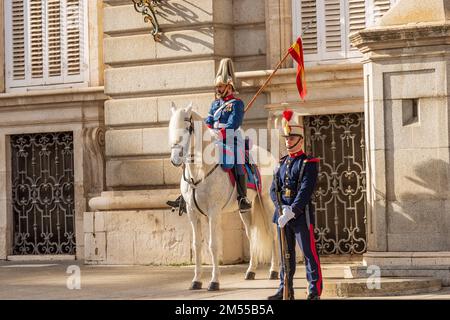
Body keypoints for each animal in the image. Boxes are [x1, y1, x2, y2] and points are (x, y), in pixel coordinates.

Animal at [170, 104, 280, 292]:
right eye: (170, 127)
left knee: (272, 232)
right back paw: (251, 271)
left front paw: (214, 281)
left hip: (266, 201)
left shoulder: (214, 211)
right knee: (251, 234)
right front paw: (196, 281)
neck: (199, 171)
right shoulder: (193, 212)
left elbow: (214, 245)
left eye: (187, 127)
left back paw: (274, 271)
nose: (175, 159)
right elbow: (197, 245)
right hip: (246, 209)